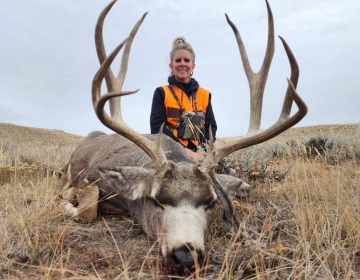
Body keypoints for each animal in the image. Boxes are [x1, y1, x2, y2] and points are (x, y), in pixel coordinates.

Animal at [58, 0, 306, 276]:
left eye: (210, 203)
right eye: (157, 200)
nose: (186, 256)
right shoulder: (92, 177)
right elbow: (86, 211)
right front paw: (67, 203)